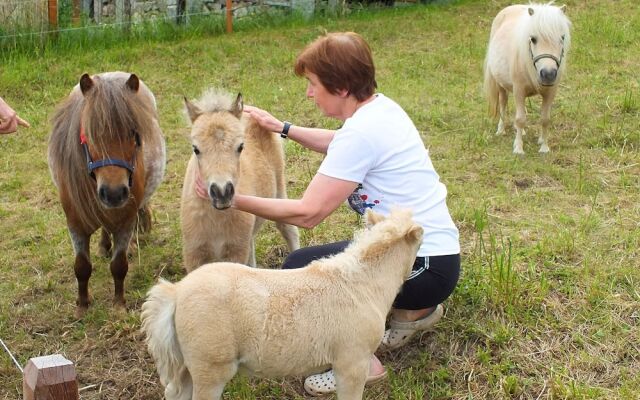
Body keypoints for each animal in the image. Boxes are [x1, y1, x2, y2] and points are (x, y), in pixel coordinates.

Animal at [48, 71, 166, 316]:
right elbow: (81, 266)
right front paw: (82, 306)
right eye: (88, 134)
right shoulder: (75, 223)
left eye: (134, 133)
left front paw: (118, 305)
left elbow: (119, 265)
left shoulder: (125, 220)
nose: (113, 193)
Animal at [482, 2, 572, 154]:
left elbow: (545, 119)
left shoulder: (550, 92)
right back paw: (501, 130)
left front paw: (544, 147)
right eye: (533, 39)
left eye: (562, 38)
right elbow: (520, 119)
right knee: (503, 104)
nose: (548, 74)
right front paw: (518, 149)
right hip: (501, 85)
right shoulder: (519, 90)